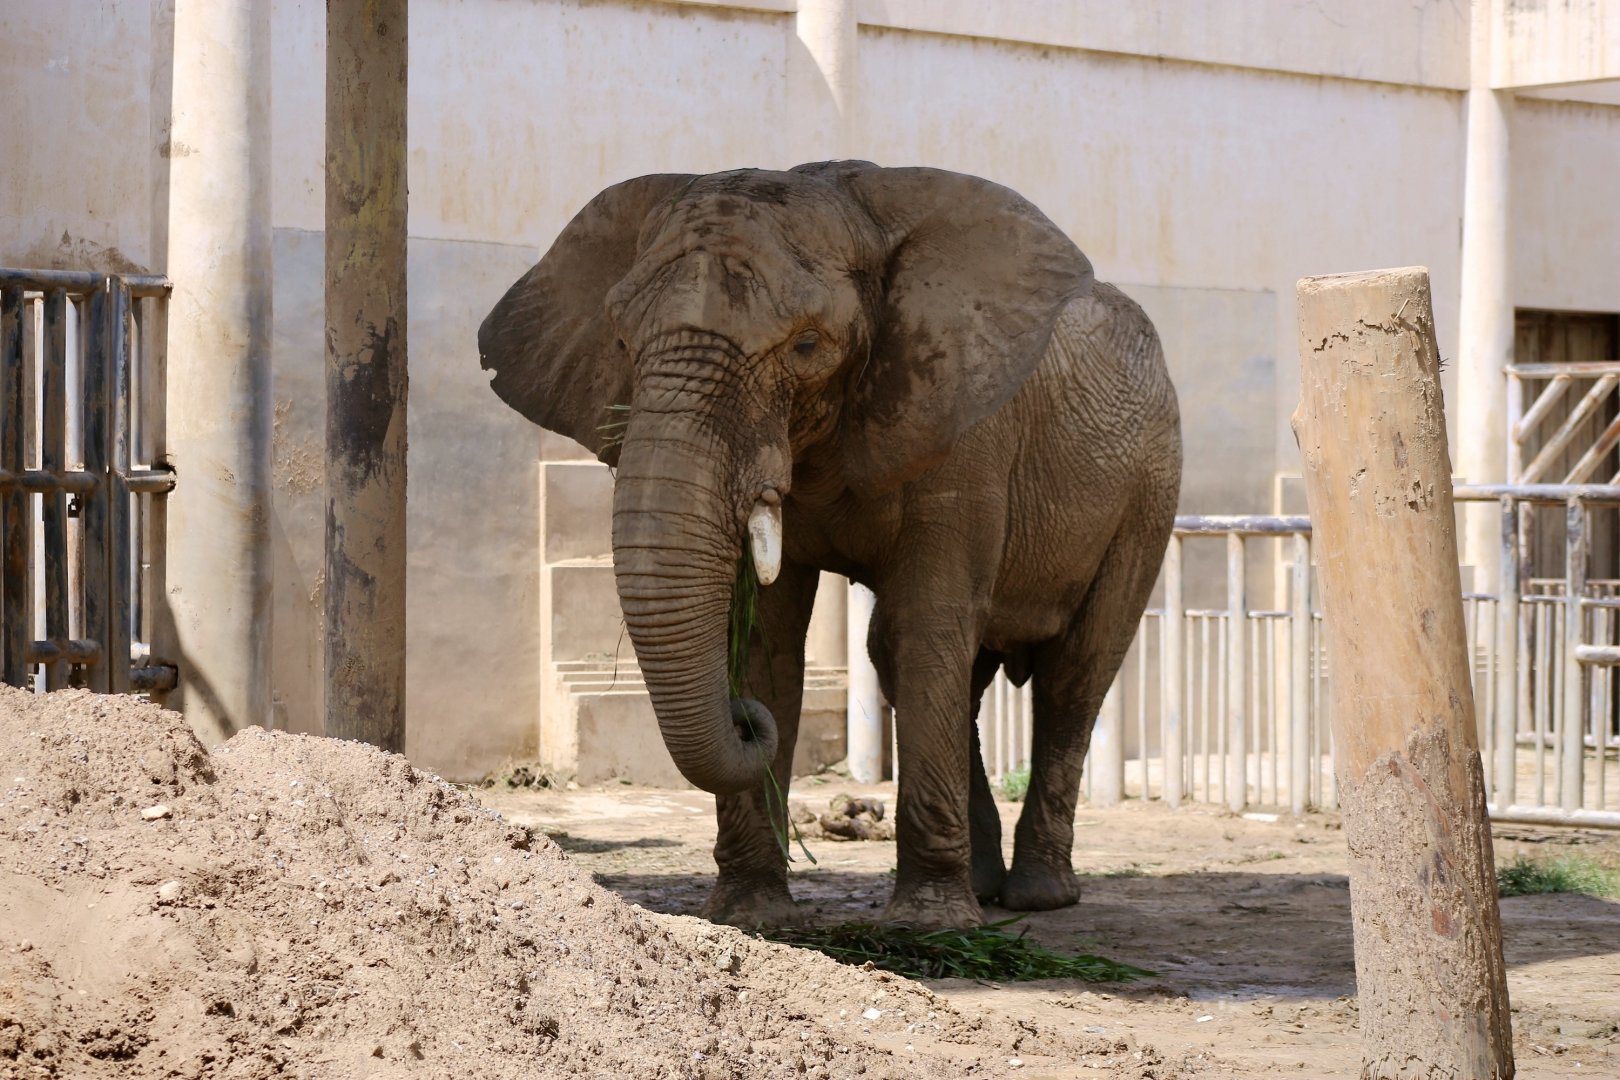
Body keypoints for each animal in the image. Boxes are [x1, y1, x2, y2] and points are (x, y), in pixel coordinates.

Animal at [479, 161, 1181, 930]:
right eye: (623, 343)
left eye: (809, 346)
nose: (743, 723)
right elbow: (768, 640)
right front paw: (752, 915)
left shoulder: (962, 432)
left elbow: (928, 627)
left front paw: (928, 925)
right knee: (927, 668)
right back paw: (986, 886)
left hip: (1150, 489)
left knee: (1072, 673)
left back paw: (1037, 896)